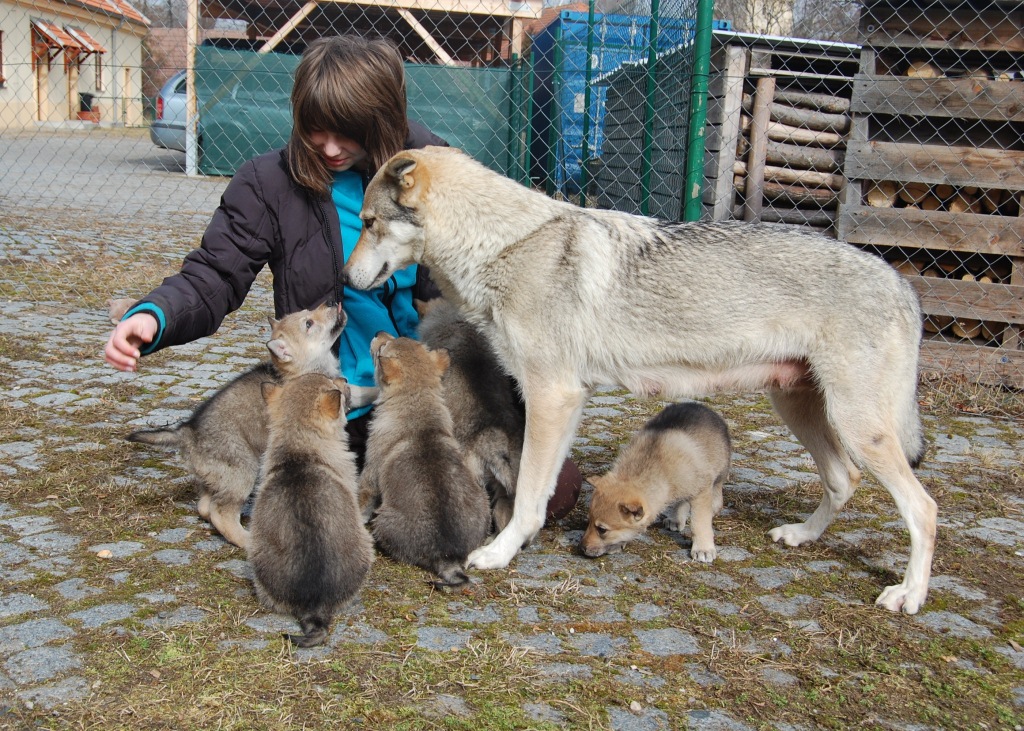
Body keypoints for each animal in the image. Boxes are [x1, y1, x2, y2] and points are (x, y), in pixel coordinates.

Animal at [122, 301, 348, 548]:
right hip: (243, 471)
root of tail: (188, 431)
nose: (331, 302)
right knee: (221, 513)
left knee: (205, 507)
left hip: (217, 478)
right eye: (308, 323)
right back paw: (248, 540)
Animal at [358, 331, 489, 585]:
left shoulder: (369, 475)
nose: (378, 333)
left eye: (381, 351)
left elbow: (362, 502)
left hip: (384, 520)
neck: (416, 401)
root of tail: (447, 557)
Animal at [581, 401, 733, 561]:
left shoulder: (701, 490)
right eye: (588, 521)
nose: (581, 548)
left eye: (602, 529)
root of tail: (703, 407)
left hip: (719, 468)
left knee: (717, 488)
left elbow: (699, 523)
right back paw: (675, 519)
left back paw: (714, 506)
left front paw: (703, 548)